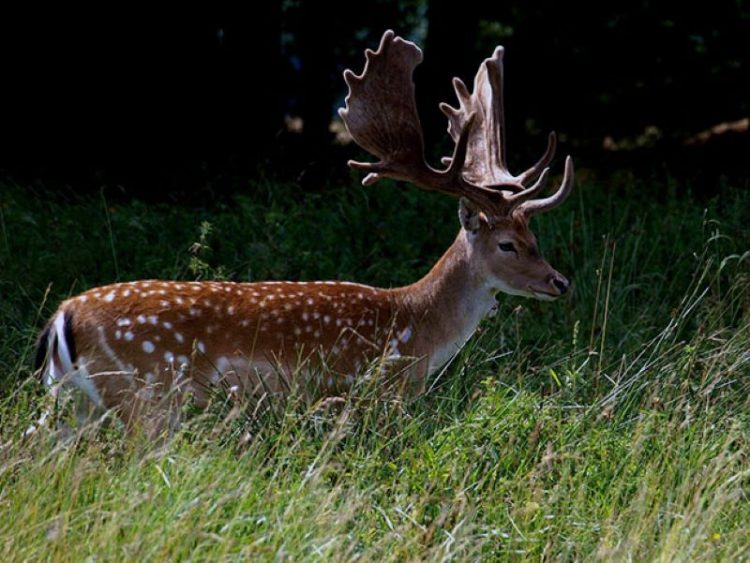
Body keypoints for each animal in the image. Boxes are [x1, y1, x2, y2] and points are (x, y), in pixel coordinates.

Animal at [32, 29, 576, 436]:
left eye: (535, 238)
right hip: (146, 393)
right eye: (507, 244)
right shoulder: (369, 393)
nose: (560, 282)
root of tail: (64, 316)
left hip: (72, 401)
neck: (416, 329)